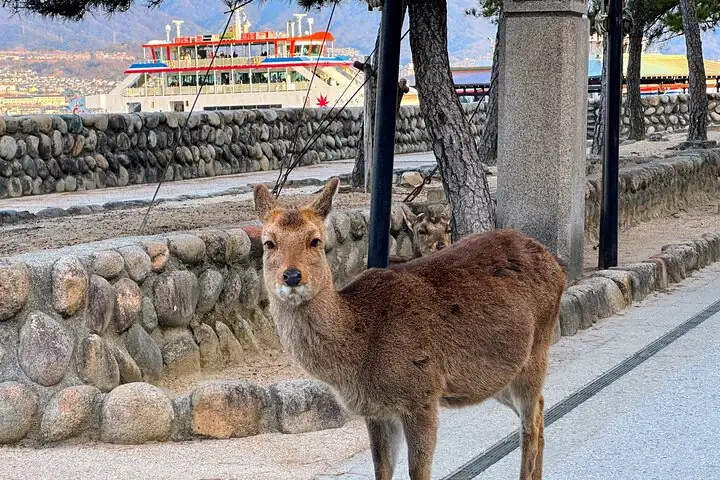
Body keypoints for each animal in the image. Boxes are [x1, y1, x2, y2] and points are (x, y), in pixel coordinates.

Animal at [253, 177, 566, 480]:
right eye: (268, 243)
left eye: (316, 240)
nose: (292, 276)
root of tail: (557, 265)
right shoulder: (377, 411)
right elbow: (381, 470)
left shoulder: (422, 394)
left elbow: (418, 471)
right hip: (499, 375)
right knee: (539, 407)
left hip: (537, 351)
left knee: (531, 423)